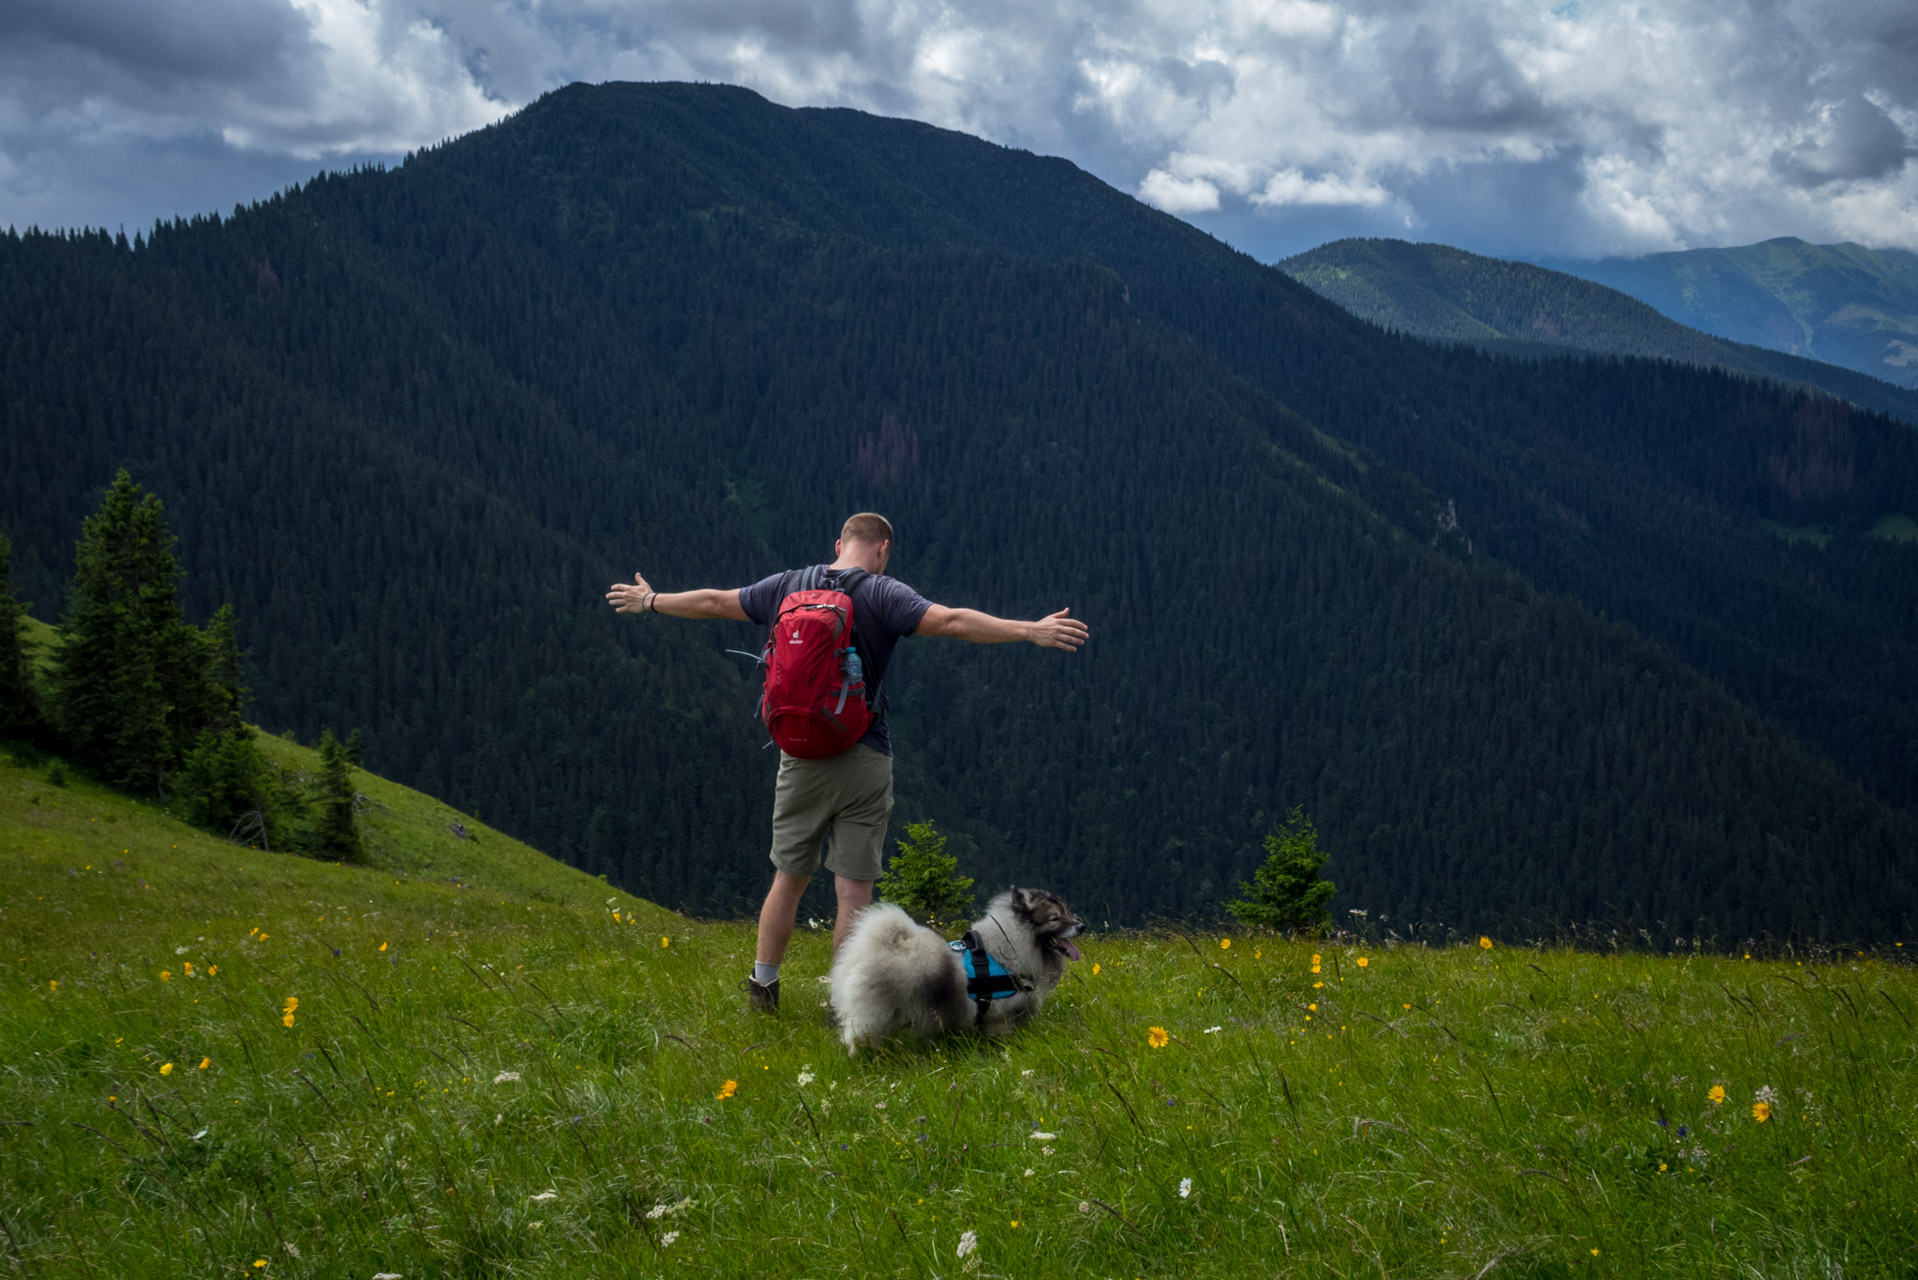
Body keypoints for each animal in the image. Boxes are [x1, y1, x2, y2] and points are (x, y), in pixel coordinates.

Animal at [832, 890, 1089, 1051]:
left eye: (1067, 912)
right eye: (1055, 919)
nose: (1082, 926)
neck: (1008, 950)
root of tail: (873, 949)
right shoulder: (1000, 1019)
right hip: (877, 1016)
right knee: (858, 1037)